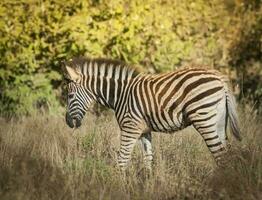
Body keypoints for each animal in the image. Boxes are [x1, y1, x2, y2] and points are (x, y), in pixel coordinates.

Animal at [62, 56, 242, 170]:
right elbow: (147, 160)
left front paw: (118, 187)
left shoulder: (130, 128)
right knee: (224, 153)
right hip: (219, 121)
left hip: (204, 119)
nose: (68, 123)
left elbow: (122, 160)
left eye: (69, 96)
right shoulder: (144, 131)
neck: (120, 94)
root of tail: (219, 77)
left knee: (220, 155)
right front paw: (147, 187)